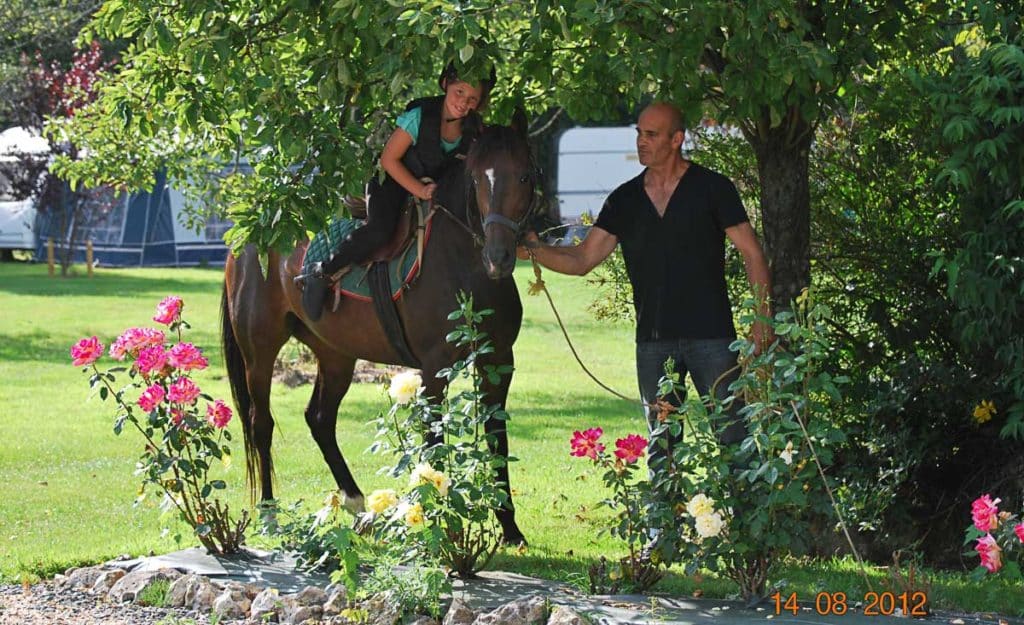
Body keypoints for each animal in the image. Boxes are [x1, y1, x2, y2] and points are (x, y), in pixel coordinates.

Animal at [219, 109, 532, 540]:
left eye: (524, 176)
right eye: (476, 179)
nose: (498, 256)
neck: (463, 266)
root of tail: (249, 238)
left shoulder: (499, 362)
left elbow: (497, 440)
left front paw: (511, 529)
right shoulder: (434, 370)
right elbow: (433, 443)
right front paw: (434, 519)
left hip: (336, 355)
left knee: (319, 419)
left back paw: (356, 503)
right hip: (260, 352)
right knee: (261, 424)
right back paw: (269, 513)